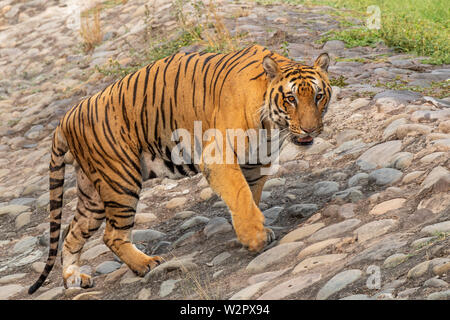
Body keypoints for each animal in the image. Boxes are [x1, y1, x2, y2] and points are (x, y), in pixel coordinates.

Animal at [28, 43, 330, 294]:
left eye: (318, 96)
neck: (272, 127)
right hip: (121, 181)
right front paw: (254, 238)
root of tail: (66, 117)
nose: (310, 129)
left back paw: (73, 279)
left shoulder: (256, 163)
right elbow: (240, 196)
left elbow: (249, 197)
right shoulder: (217, 157)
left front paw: (254, 231)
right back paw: (146, 264)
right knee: (111, 235)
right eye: (291, 99)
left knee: (71, 232)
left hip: (93, 195)